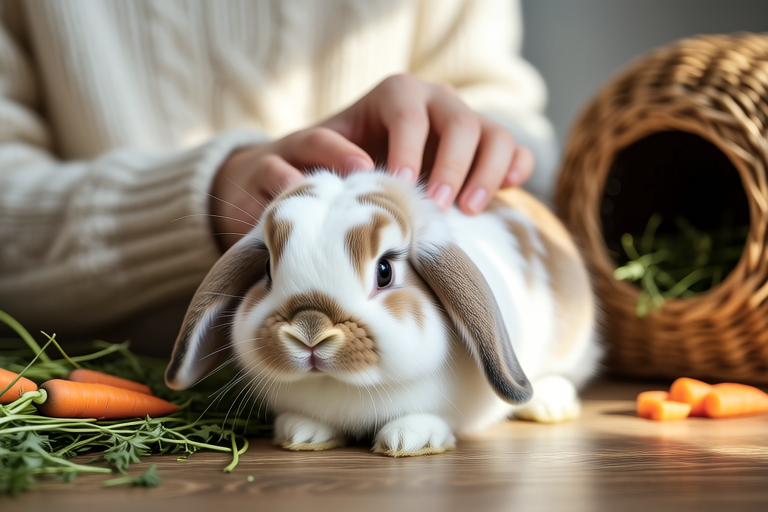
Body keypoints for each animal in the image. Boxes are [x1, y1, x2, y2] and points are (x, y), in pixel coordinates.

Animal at [165, 169, 601, 457]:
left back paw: (550, 403)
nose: (310, 330)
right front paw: (302, 433)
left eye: (385, 271)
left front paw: (409, 438)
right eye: (268, 269)